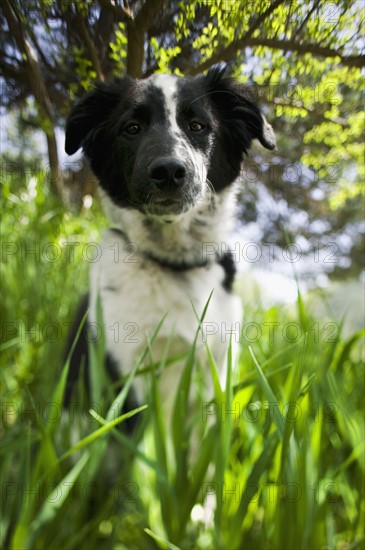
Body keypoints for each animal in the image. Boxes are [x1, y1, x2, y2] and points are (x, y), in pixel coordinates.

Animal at [64, 68, 274, 422]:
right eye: (132, 128)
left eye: (198, 126)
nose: (169, 171)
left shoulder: (215, 369)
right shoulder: (128, 377)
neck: (176, 265)